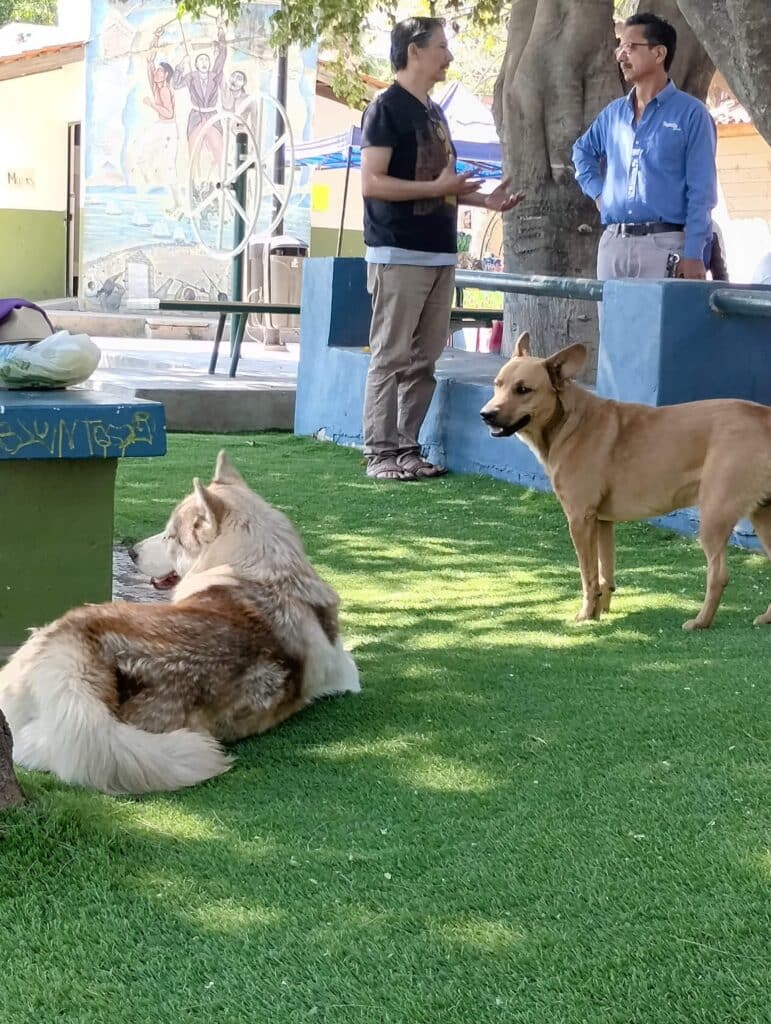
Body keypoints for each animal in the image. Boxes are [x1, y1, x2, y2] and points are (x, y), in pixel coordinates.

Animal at [481, 331, 769, 626]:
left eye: (523, 390)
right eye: (497, 385)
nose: (485, 415)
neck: (568, 422)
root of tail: (764, 416)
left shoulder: (579, 518)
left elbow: (588, 575)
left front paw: (585, 615)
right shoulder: (602, 521)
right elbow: (604, 573)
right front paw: (600, 611)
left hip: (713, 516)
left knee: (718, 575)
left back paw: (700, 622)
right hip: (762, 516)